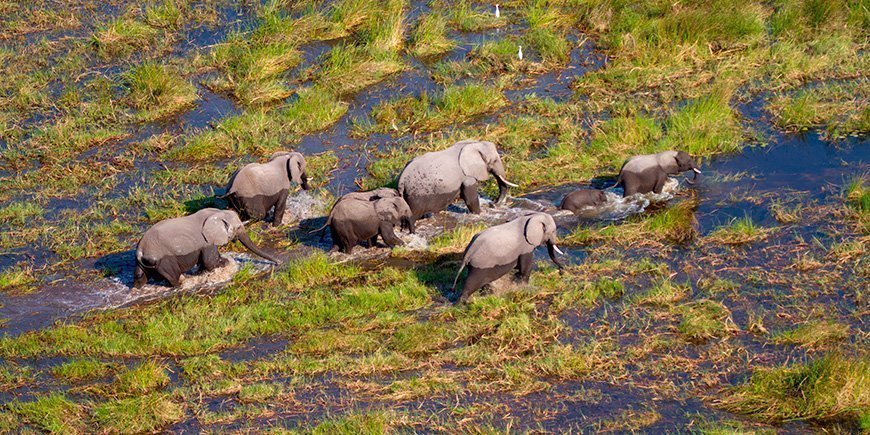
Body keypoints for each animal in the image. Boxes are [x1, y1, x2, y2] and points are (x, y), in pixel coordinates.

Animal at [134, 208, 280, 288]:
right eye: (238, 227)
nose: (279, 262)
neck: (217, 213)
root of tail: (141, 249)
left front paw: (202, 271)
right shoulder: (207, 242)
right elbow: (210, 262)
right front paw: (226, 262)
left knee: (140, 274)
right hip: (164, 259)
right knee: (173, 276)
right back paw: (181, 284)